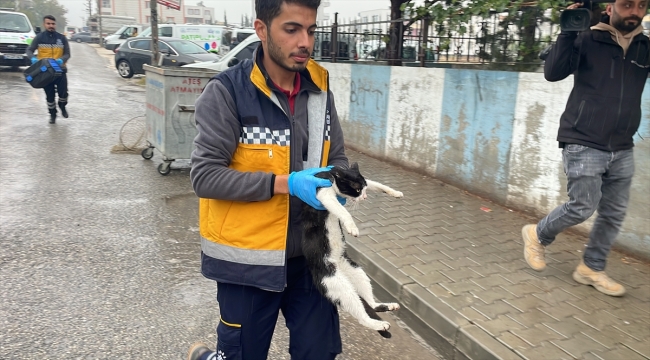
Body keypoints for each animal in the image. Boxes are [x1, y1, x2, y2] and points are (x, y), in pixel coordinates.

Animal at [302, 163, 402, 338]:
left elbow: (378, 184)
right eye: (357, 189)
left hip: (357, 271)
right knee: (361, 315)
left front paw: (395, 192)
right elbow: (343, 211)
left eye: (364, 189)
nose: (365, 197)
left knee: (371, 303)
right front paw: (352, 227)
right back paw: (379, 324)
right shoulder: (323, 193)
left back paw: (388, 306)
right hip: (339, 286)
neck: (330, 175)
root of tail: (338, 267)